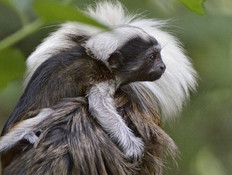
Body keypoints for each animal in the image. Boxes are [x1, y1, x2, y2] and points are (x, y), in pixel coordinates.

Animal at [0, 26, 166, 160]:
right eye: (152, 57)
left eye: (159, 55)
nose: (163, 66)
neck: (99, 60)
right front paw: (131, 144)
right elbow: (99, 106)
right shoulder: (102, 79)